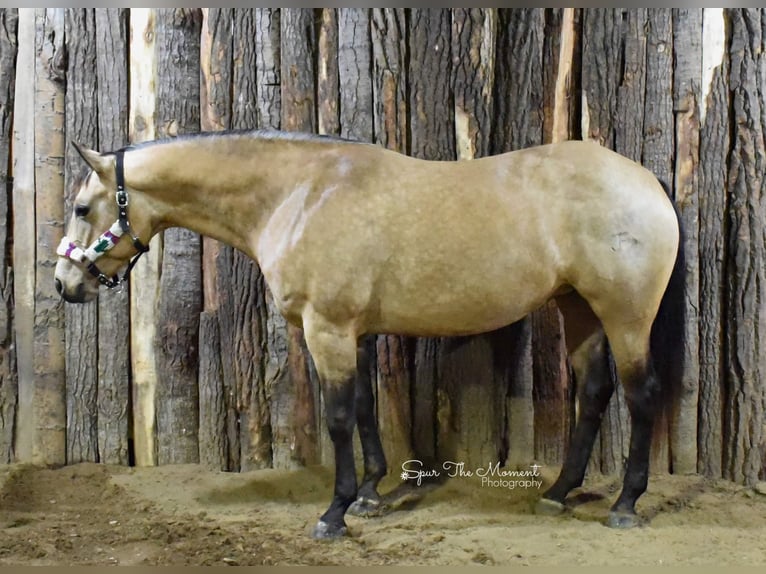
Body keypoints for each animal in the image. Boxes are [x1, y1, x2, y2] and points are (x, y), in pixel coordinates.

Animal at [54, 130, 684, 540]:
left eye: (82, 207)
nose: (64, 284)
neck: (300, 195)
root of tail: (645, 179)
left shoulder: (326, 328)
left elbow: (337, 417)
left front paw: (334, 513)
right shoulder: (353, 332)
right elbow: (362, 406)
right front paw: (370, 495)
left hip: (625, 314)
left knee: (641, 395)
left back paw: (626, 504)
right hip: (579, 309)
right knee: (594, 392)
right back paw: (556, 494)